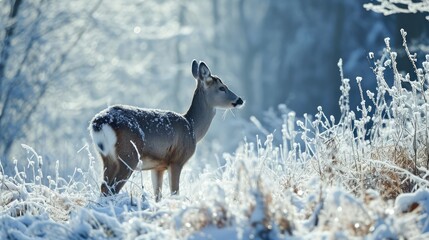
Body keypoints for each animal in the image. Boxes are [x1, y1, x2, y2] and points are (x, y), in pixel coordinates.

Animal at [88, 59, 242, 201]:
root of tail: (99, 121)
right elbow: (175, 192)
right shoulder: (177, 160)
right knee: (112, 189)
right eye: (222, 87)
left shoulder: (158, 166)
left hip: (107, 157)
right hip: (129, 155)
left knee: (104, 187)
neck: (192, 127)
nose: (240, 99)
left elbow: (158, 195)